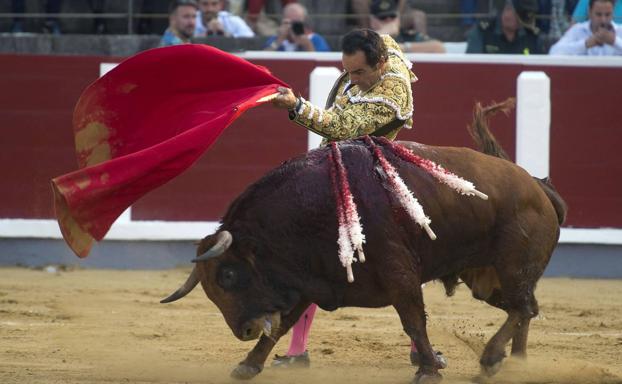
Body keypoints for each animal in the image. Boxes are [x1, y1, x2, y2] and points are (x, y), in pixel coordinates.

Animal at [162, 100, 572, 382]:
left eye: (228, 275)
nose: (244, 331)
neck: (310, 208)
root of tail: (537, 186)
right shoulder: (311, 280)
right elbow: (282, 326)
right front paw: (247, 366)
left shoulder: (399, 275)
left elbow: (413, 321)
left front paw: (428, 369)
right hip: (487, 279)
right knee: (524, 309)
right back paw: (515, 363)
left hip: (514, 265)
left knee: (523, 307)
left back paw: (490, 359)